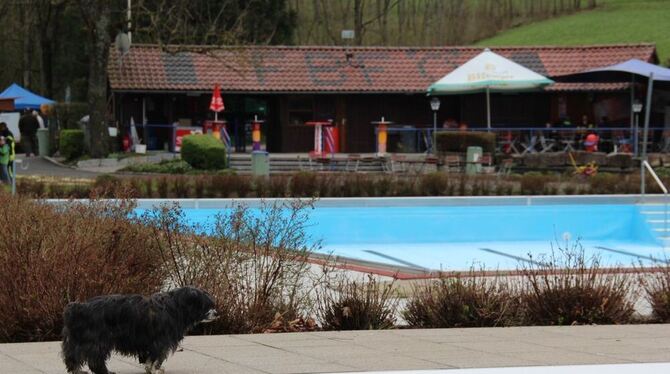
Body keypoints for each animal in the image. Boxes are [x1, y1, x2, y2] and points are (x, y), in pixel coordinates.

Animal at [61, 288, 218, 372]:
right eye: (206, 306)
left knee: (72, 358)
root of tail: (78, 308)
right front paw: (154, 369)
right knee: (94, 360)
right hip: (98, 340)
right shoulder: (160, 340)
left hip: (76, 340)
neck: (176, 307)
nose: (217, 313)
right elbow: (156, 357)